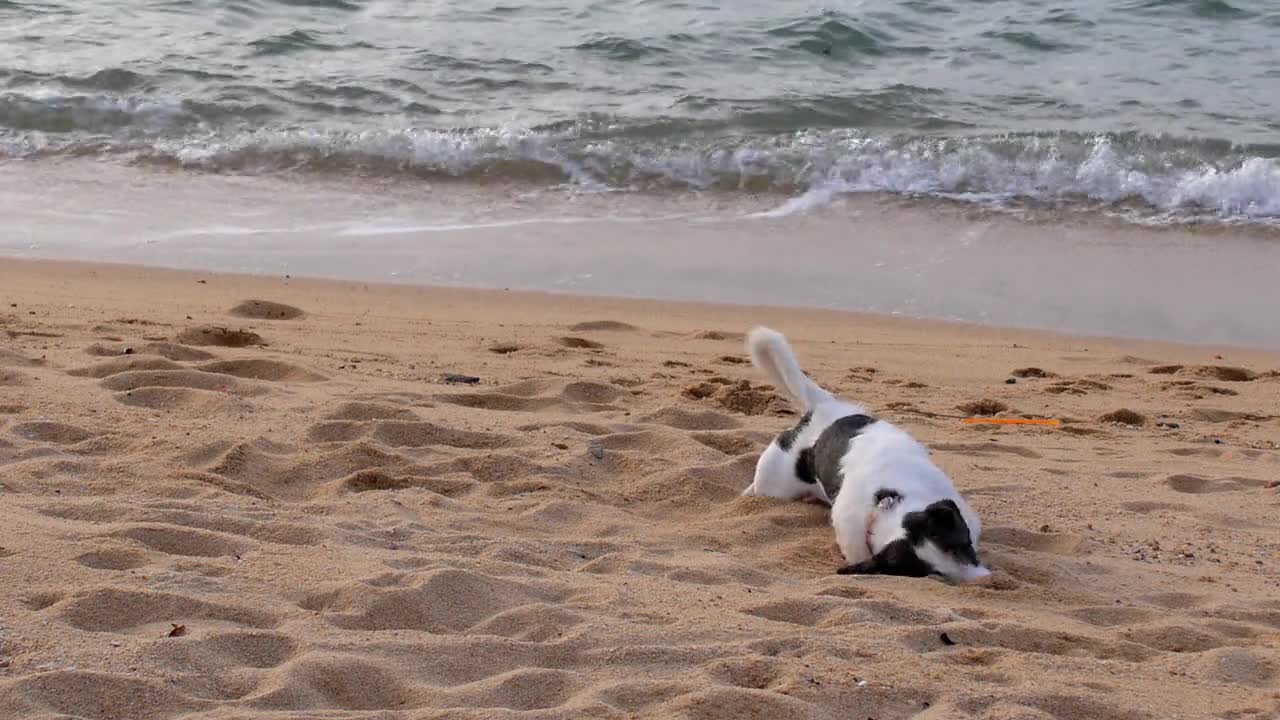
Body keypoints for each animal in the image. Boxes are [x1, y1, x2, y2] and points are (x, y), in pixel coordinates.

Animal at [742, 327, 988, 579]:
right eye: (934, 574)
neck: (888, 501)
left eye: (962, 546)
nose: (983, 581)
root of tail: (824, 408)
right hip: (775, 482)